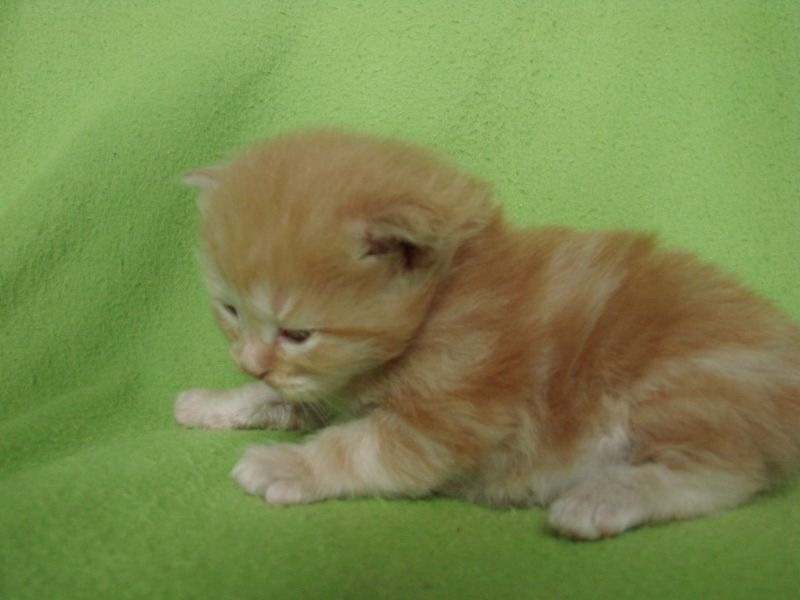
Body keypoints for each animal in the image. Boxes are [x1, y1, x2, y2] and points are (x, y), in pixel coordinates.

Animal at [175, 129, 800, 539]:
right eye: (229, 309)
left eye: (298, 333)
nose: (249, 360)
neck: (444, 302)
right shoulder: (326, 386)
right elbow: (276, 398)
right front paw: (211, 401)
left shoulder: (450, 418)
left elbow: (356, 446)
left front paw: (285, 466)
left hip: (686, 387)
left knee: (723, 475)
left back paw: (600, 500)